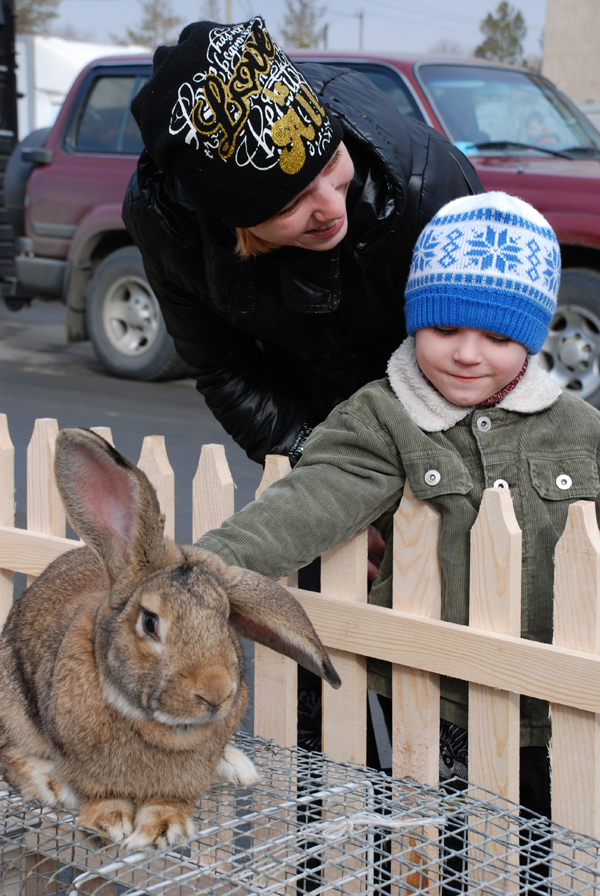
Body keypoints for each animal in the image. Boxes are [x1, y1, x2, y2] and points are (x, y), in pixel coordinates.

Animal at [0, 430, 340, 852]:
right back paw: (50, 785)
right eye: (149, 623)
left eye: (225, 620)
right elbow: (100, 793)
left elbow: (169, 800)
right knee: (9, 752)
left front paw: (161, 828)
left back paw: (236, 766)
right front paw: (107, 822)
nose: (215, 693)